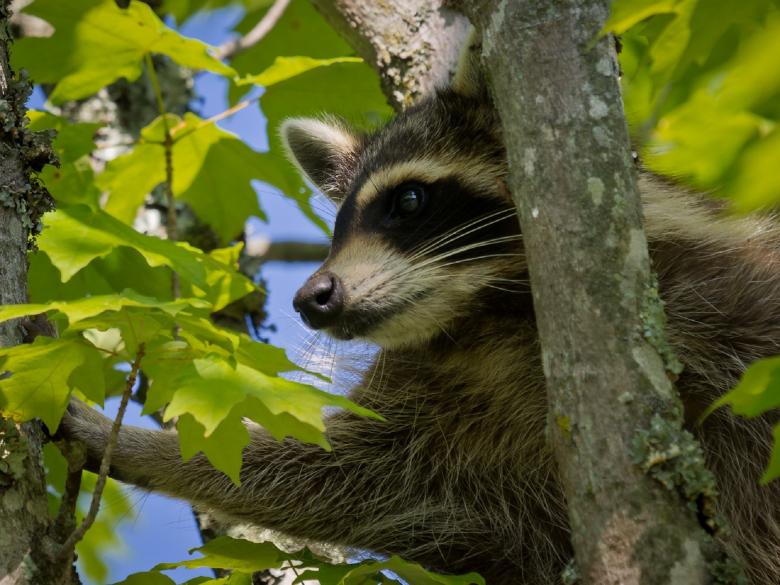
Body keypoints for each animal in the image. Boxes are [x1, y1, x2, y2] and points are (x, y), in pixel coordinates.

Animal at [58, 39, 780, 585]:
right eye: (336, 227)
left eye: (407, 201)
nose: (311, 296)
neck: (490, 317)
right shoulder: (440, 421)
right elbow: (334, 475)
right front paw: (144, 449)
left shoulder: (724, 301)